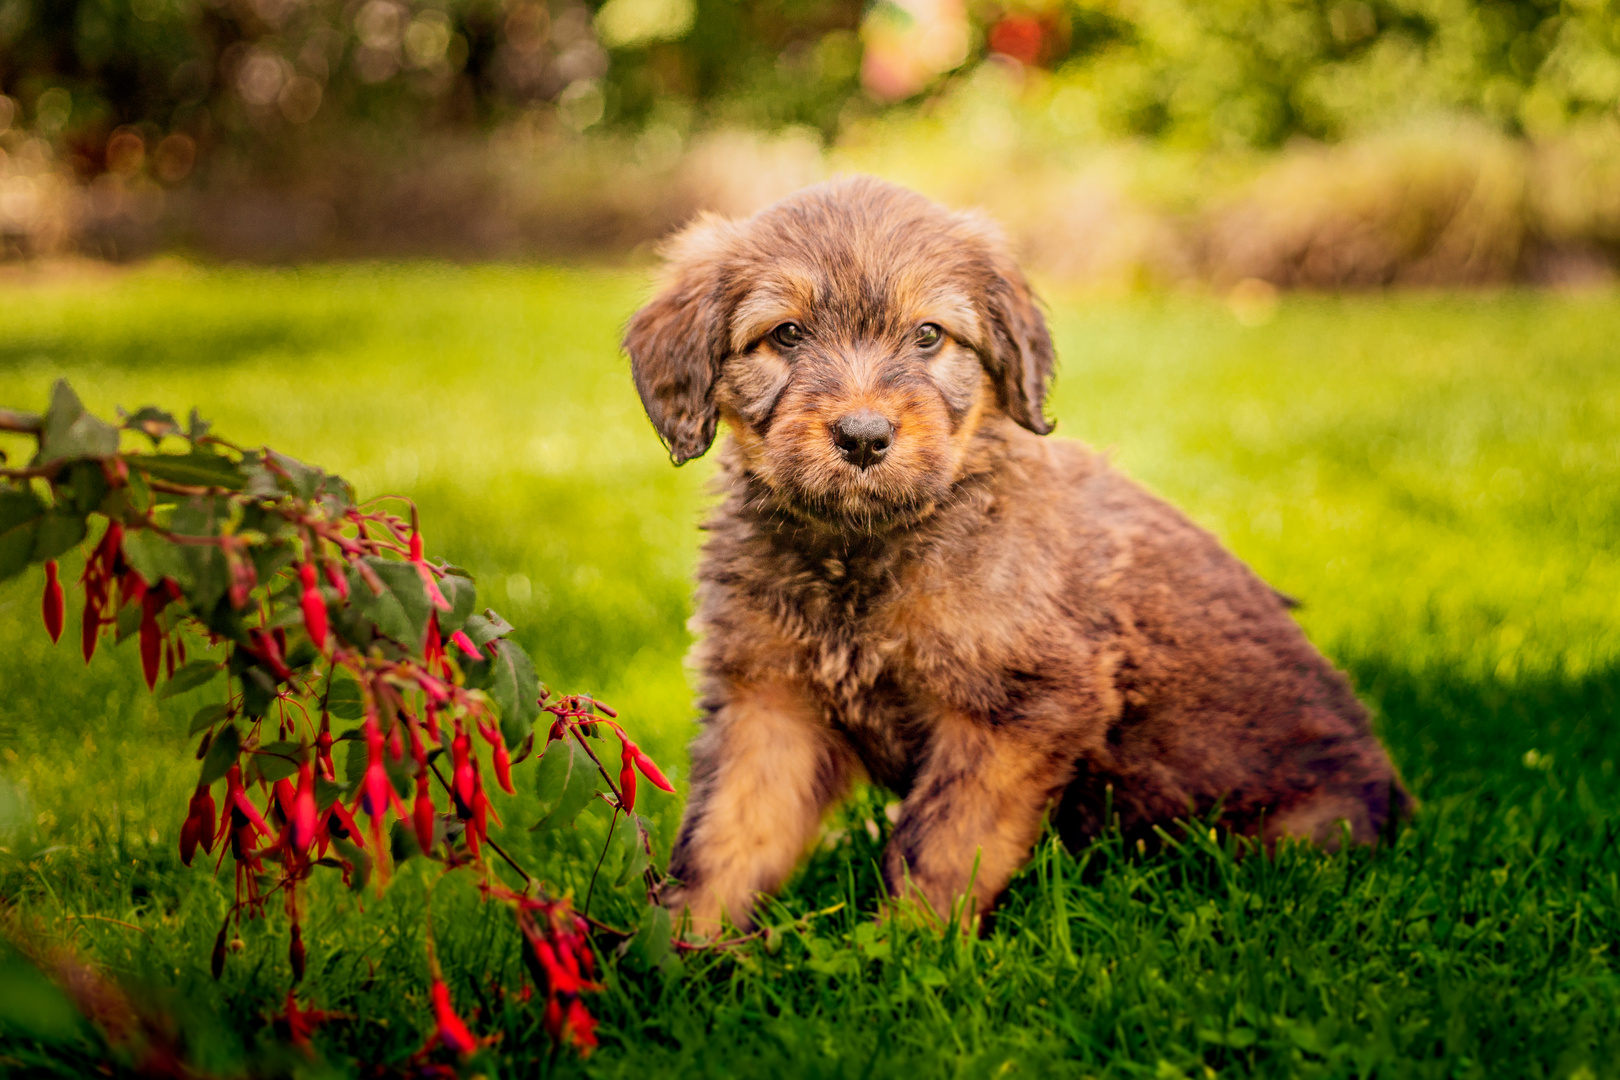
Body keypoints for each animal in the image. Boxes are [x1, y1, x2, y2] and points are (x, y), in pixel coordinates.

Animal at [618, 179, 1406, 939]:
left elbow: (941, 843)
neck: (862, 553)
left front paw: (908, 950)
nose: (865, 436)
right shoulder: (769, 703)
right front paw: (677, 947)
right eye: (785, 334)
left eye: (928, 335)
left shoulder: (1018, 711)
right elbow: (726, 836)